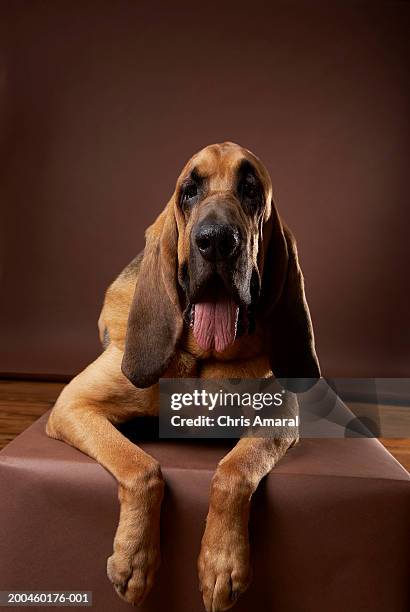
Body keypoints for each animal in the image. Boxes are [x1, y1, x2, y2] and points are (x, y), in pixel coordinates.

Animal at [46, 141, 318, 608]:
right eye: (189, 192)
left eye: (251, 191)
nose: (217, 241)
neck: (201, 361)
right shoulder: (73, 406)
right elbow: (142, 468)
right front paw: (135, 559)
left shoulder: (280, 417)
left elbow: (233, 471)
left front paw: (222, 562)